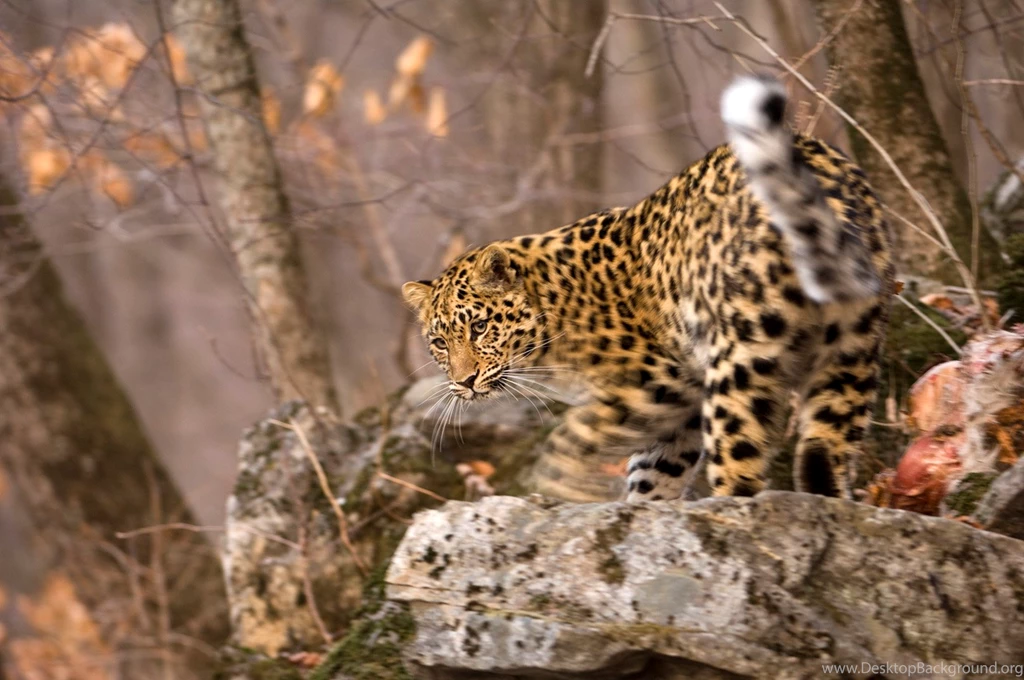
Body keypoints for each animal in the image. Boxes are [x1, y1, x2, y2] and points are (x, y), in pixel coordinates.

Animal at [402, 76, 894, 503]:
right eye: (440, 343)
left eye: (480, 327)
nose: (463, 382)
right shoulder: (677, 409)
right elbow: (655, 470)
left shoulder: (659, 379)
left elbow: (575, 439)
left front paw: (561, 488)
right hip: (850, 348)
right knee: (824, 452)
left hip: (740, 359)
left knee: (740, 467)